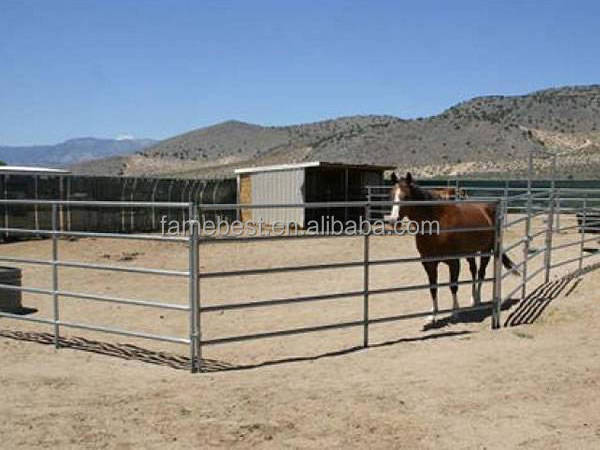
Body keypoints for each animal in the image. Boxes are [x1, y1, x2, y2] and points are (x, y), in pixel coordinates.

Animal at [386, 171, 516, 324]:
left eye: (406, 197)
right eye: (391, 195)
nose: (393, 221)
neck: (437, 224)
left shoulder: (454, 262)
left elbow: (453, 286)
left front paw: (455, 313)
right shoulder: (428, 263)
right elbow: (433, 287)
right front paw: (433, 314)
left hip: (486, 251)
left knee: (481, 273)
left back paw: (478, 299)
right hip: (470, 253)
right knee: (473, 271)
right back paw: (473, 299)